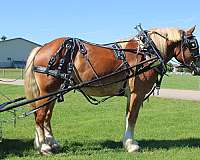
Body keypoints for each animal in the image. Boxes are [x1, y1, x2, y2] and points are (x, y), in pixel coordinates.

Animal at [24, 25, 199, 154]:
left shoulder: (130, 95)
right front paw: (131, 145)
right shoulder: (137, 93)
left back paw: (51, 142)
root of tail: (41, 48)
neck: (148, 52)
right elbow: (132, 118)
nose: (198, 68)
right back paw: (44, 147)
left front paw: (127, 141)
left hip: (53, 93)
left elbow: (127, 116)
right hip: (47, 93)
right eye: (193, 45)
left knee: (46, 116)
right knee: (40, 117)